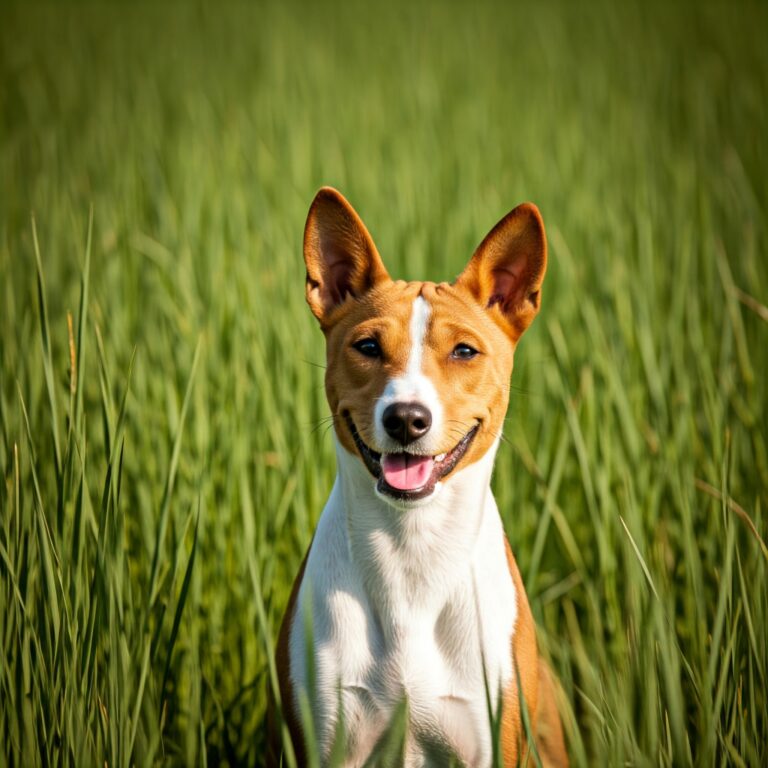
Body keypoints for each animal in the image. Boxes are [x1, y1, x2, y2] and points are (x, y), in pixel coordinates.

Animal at [268, 188, 564, 768]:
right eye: (367, 347)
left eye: (464, 350)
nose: (406, 418)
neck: (412, 553)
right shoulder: (327, 742)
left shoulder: (488, 742)